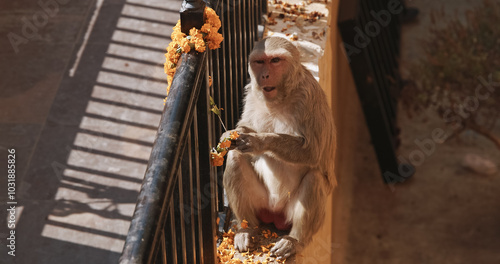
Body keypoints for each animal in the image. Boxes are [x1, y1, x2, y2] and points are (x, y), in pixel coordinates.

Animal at [222, 36, 336, 258]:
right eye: (259, 62)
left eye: (275, 60)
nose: (264, 75)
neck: (280, 98)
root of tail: (275, 214)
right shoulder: (251, 94)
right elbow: (243, 129)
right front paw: (229, 136)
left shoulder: (309, 97)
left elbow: (313, 151)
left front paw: (259, 141)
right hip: (261, 202)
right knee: (235, 158)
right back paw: (246, 229)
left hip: (289, 211)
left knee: (315, 178)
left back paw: (294, 241)